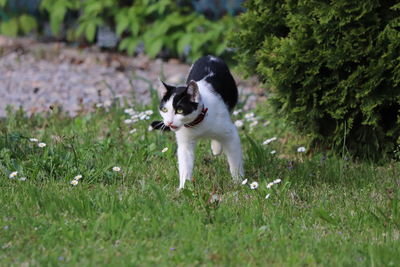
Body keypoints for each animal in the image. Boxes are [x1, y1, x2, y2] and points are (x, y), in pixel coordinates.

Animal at [151, 54, 242, 189]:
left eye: (180, 110)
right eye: (164, 109)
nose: (169, 122)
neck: (198, 123)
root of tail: (209, 56)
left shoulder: (231, 135)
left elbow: (235, 160)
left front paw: (239, 182)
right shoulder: (185, 143)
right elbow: (185, 165)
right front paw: (184, 188)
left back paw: (216, 148)